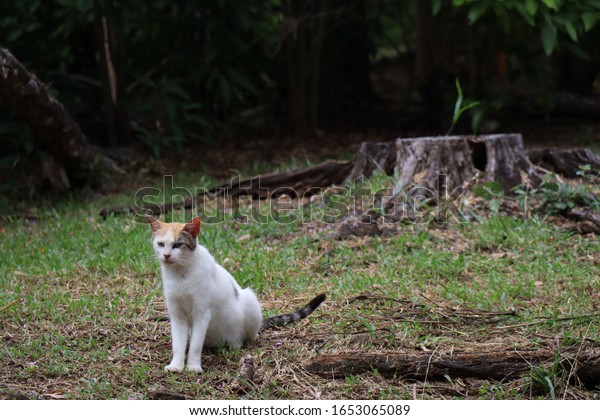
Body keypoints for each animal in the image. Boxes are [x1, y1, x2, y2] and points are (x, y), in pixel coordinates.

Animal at [145, 215, 324, 372]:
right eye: (161, 244)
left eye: (177, 245)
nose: (166, 255)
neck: (180, 275)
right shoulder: (177, 314)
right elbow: (178, 344)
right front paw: (176, 365)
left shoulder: (202, 312)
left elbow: (195, 345)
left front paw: (194, 366)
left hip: (250, 301)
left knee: (248, 336)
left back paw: (235, 342)